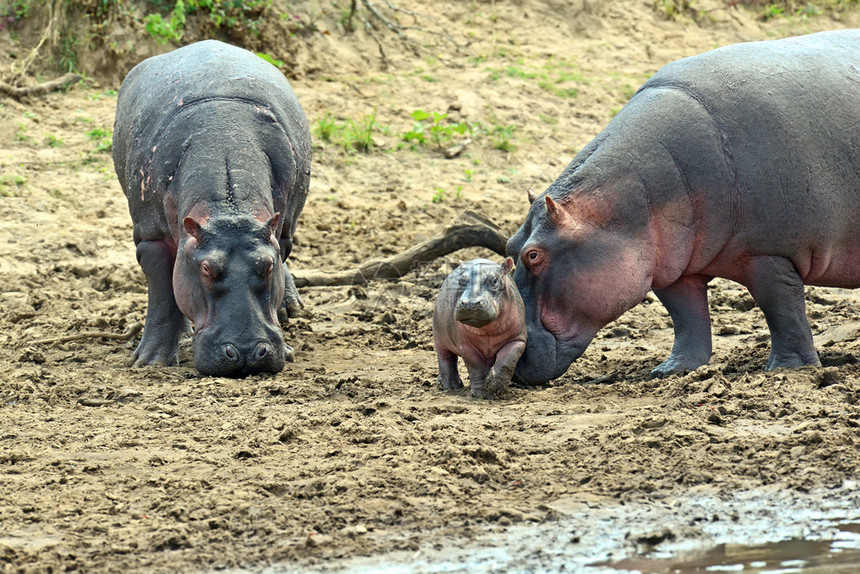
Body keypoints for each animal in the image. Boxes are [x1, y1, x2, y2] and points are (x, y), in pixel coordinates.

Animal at [113, 41, 312, 382]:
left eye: (267, 266)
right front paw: (151, 362)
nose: (246, 353)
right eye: (206, 268)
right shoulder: (151, 238)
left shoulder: (278, 235)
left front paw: (287, 349)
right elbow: (163, 294)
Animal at [434, 258, 528, 398]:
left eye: (494, 280)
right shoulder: (465, 346)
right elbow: (476, 368)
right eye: (460, 280)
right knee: (445, 359)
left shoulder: (517, 339)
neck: (487, 330)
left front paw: (496, 387)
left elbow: (507, 360)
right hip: (439, 337)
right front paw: (481, 394)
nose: (470, 303)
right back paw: (450, 386)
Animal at [504, 28, 860, 388]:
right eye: (511, 245)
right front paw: (672, 371)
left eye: (533, 255)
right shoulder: (671, 265)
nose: (506, 354)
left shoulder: (770, 254)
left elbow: (782, 310)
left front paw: (788, 370)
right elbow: (687, 318)